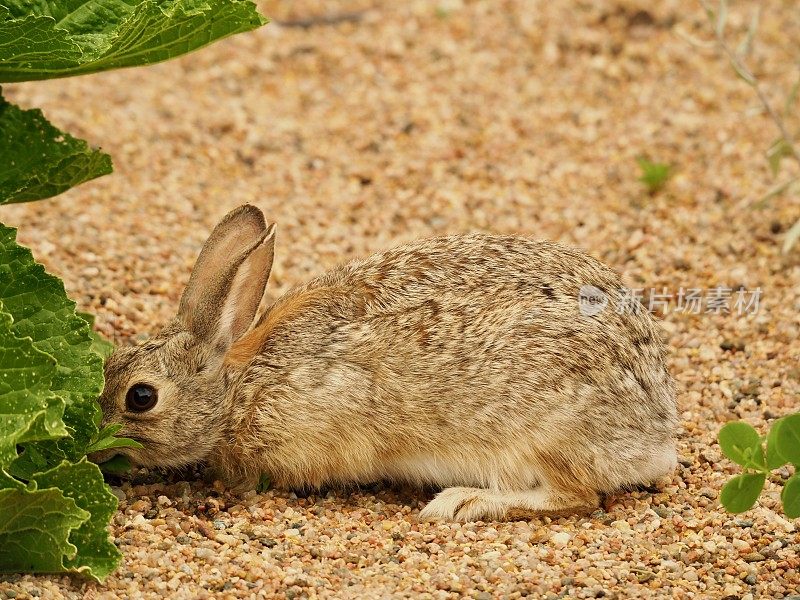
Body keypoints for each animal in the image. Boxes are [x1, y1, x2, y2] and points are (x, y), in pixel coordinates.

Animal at [95, 205, 680, 520]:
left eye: (140, 397)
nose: (96, 444)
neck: (237, 387)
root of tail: (657, 435)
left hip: (543, 435)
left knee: (576, 495)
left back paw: (462, 503)